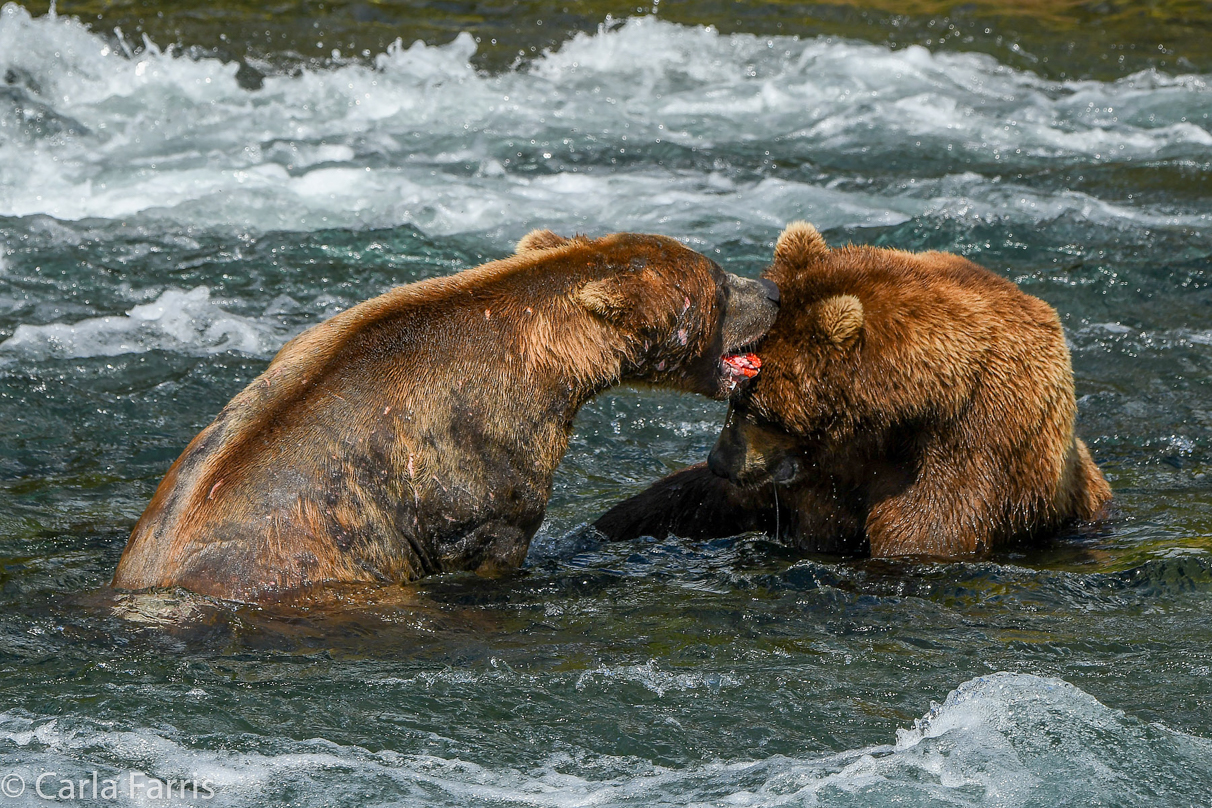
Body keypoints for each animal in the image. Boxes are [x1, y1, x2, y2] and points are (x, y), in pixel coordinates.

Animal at [591, 221, 1110, 557]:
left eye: (759, 408)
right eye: (735, 398)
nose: (720, 462)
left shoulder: (977, 437)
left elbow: (928, 529)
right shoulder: (807, 475)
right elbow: (687, 500)